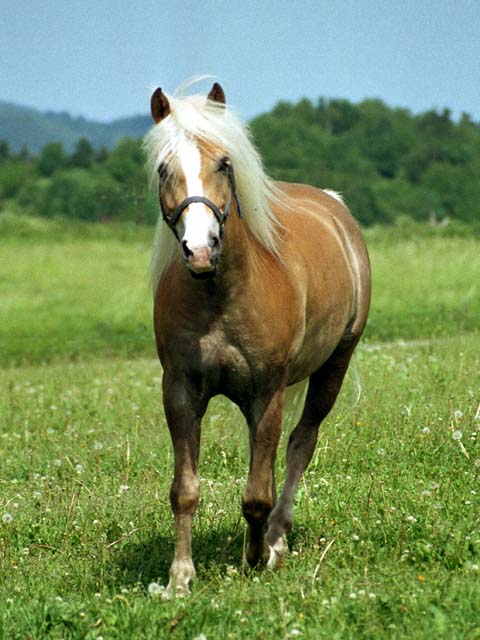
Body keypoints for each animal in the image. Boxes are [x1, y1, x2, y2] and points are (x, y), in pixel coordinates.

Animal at [142, 81, 372, 600]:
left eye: (224, 163)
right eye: (164, 167)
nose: (200, 249)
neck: (221, 295)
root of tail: (336, 208)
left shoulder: (267, 394)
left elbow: (256, 494)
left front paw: (256, 556)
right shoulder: (179, 392)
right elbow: (185, 490)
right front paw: (179, 577)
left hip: (334, 366)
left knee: (301, 445)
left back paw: (277, 539)